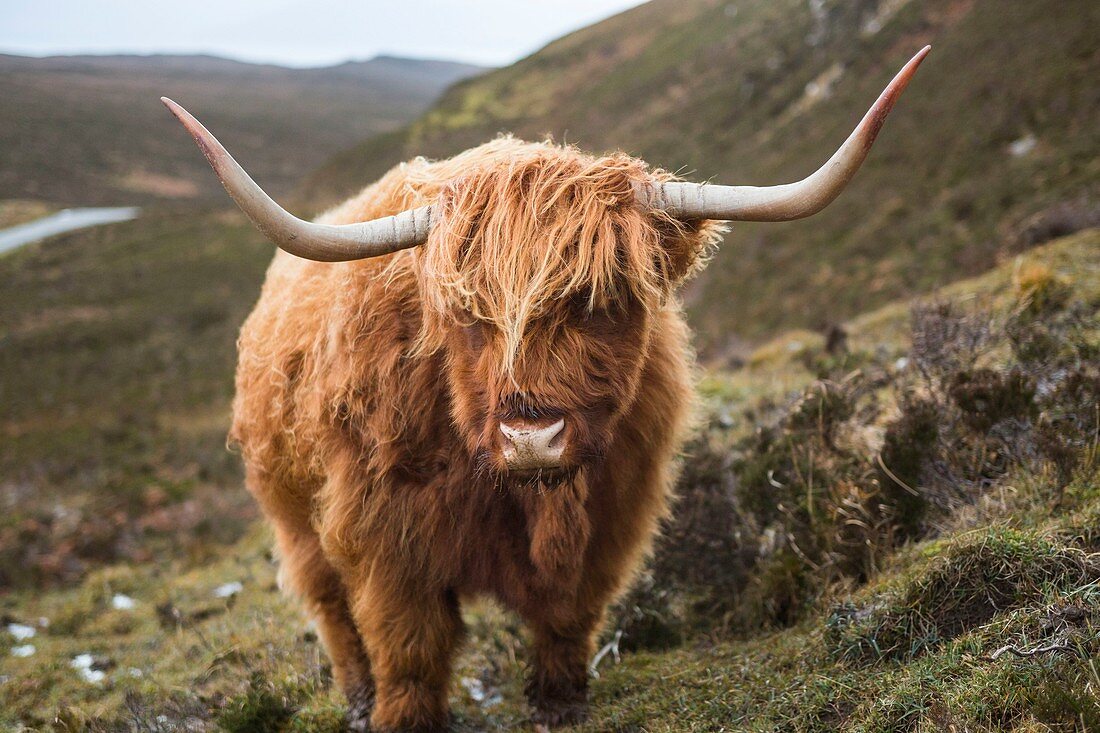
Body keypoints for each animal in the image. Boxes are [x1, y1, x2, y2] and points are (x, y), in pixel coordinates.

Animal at [165, 47, 928, 730]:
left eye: (605, 298)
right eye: (467, 315)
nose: (531, 436)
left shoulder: (612, 510)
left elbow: (567, 613)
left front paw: (560, 703)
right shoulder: (386, 530)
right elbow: (408, 640)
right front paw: (405, 718)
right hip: (293, 515)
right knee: (332, 610)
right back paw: (356, 700)